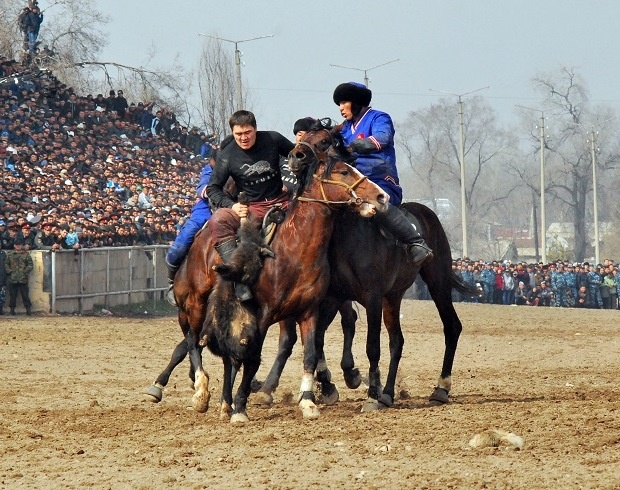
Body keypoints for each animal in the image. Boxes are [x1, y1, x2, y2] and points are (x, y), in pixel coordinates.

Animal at [252, 122, 480, 410]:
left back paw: (439, 388)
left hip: (436, 282)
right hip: (393, 296)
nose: (295, 156)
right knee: (397, 341)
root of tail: (428, 214)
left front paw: (370, 394)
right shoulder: (332, 297)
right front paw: (336, 384)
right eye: (304, 137)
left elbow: (372, 345)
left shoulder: (371, 297)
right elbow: (318, 339)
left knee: (451, 326)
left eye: (324, 140)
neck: (344, 236)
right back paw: (389, 393)